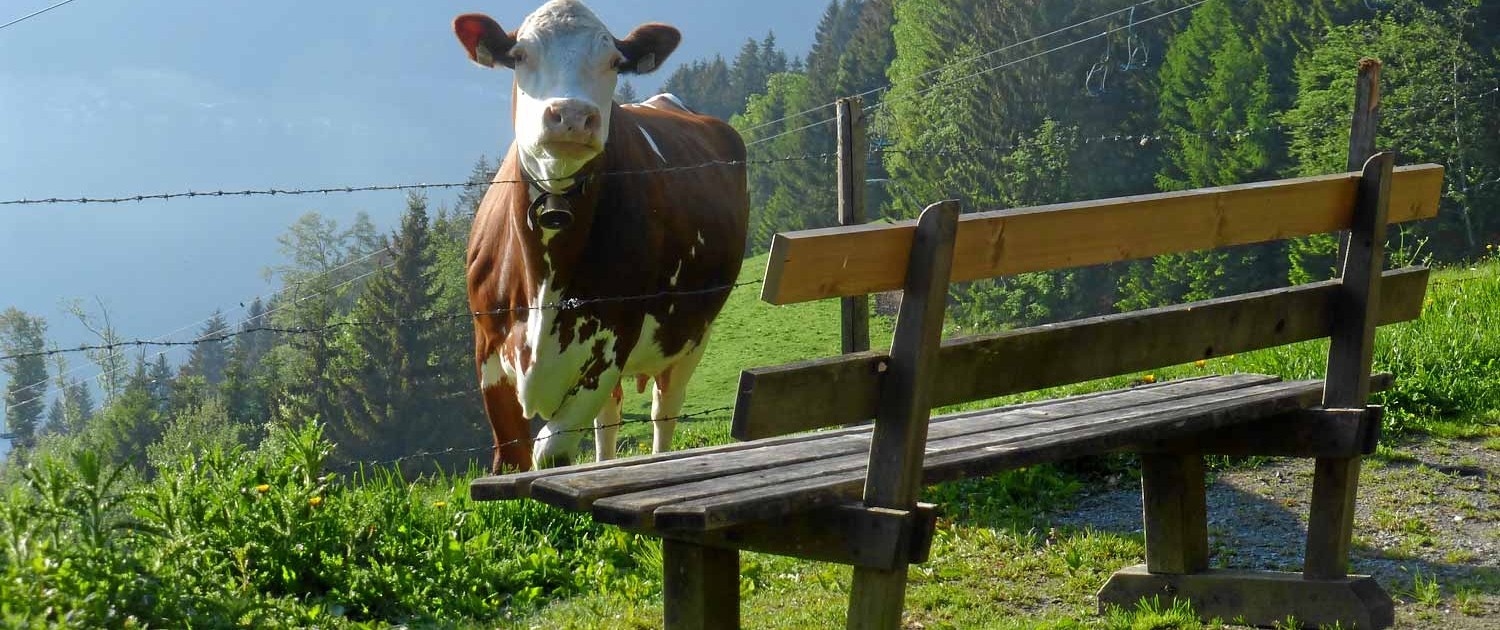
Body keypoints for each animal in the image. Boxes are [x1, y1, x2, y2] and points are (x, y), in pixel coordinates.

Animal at [447, 1, 747, 474]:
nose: (571, 115)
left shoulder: (610, 344)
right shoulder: (488, 353)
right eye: (520, 56)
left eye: (613, 63)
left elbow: (550, 452)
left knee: (664, 410)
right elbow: (513, 458)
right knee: (610, 420)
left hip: (692, 335)